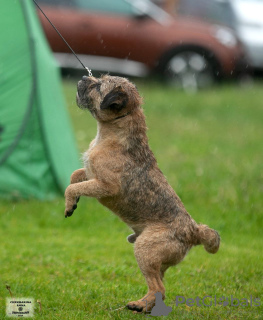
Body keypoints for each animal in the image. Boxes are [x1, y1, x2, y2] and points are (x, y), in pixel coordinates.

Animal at [64, 75, 221, 312]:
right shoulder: (90, 173)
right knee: (159, 286)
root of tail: (193, 231)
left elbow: (72, 186)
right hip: (154, 259)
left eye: (98, 86)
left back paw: (139, 306)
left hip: (144, 250)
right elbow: (74, 176)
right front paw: (72, 204)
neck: (112, 132)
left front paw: (69, 202)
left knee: (159, 288)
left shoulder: (106, 185)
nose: (84, 77)